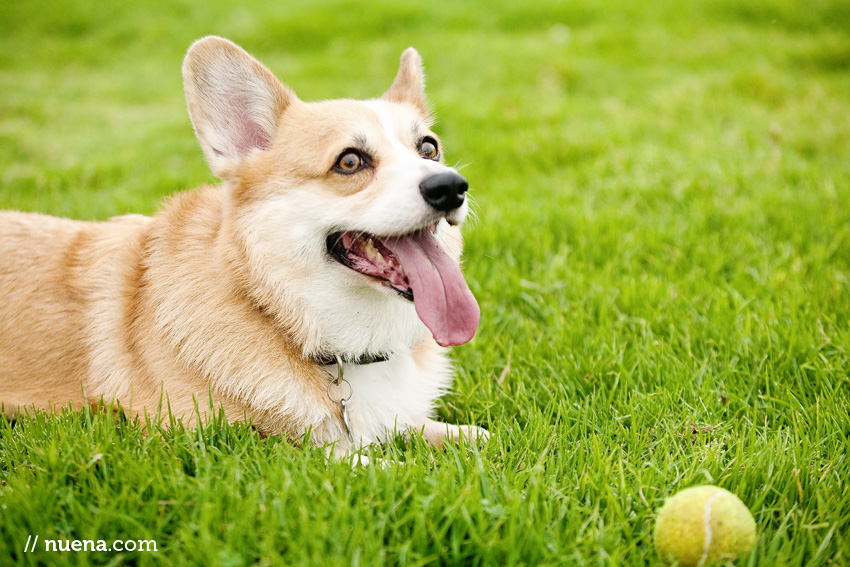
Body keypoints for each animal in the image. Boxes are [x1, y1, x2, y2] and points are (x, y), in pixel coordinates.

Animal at [0, 36, 486, 458]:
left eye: (429, 149)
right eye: (350, 161)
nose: (451, 187)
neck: (278, 313)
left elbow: (456, 432)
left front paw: (468, 437)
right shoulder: (223, 444)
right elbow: (350, 460)